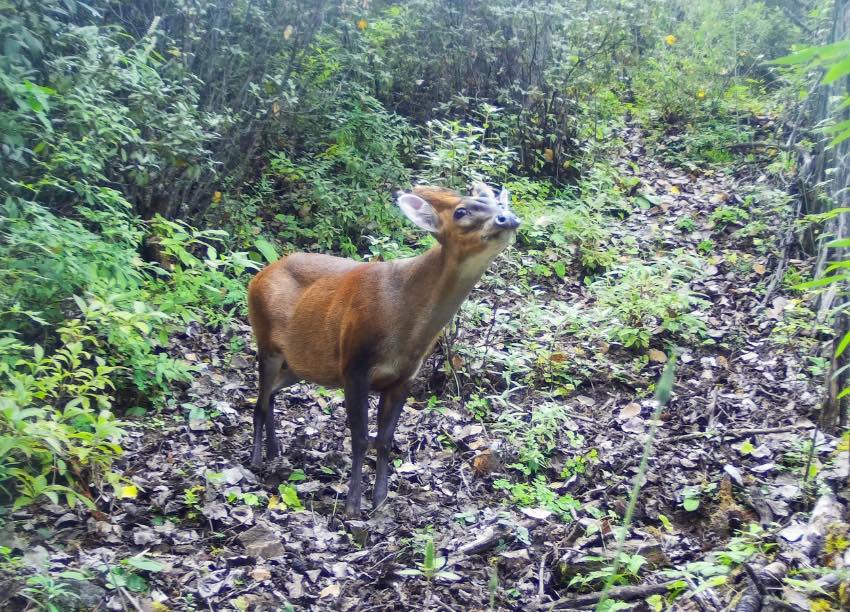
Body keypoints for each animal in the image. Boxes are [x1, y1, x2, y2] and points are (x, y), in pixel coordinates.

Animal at [247, 182, 516, 516]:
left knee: (270, 394)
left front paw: (381, 499)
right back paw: (257, 459)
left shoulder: (404, 377)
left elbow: (385, 440)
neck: (404, 322)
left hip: (301, 363)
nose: (508, 218)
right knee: (259, 400)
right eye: (460, 211)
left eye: (501, 204)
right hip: (266, 340)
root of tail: (258, 276)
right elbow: (361, 438)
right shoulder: (355, 365)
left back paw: (275, 452)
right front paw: (352, 505)